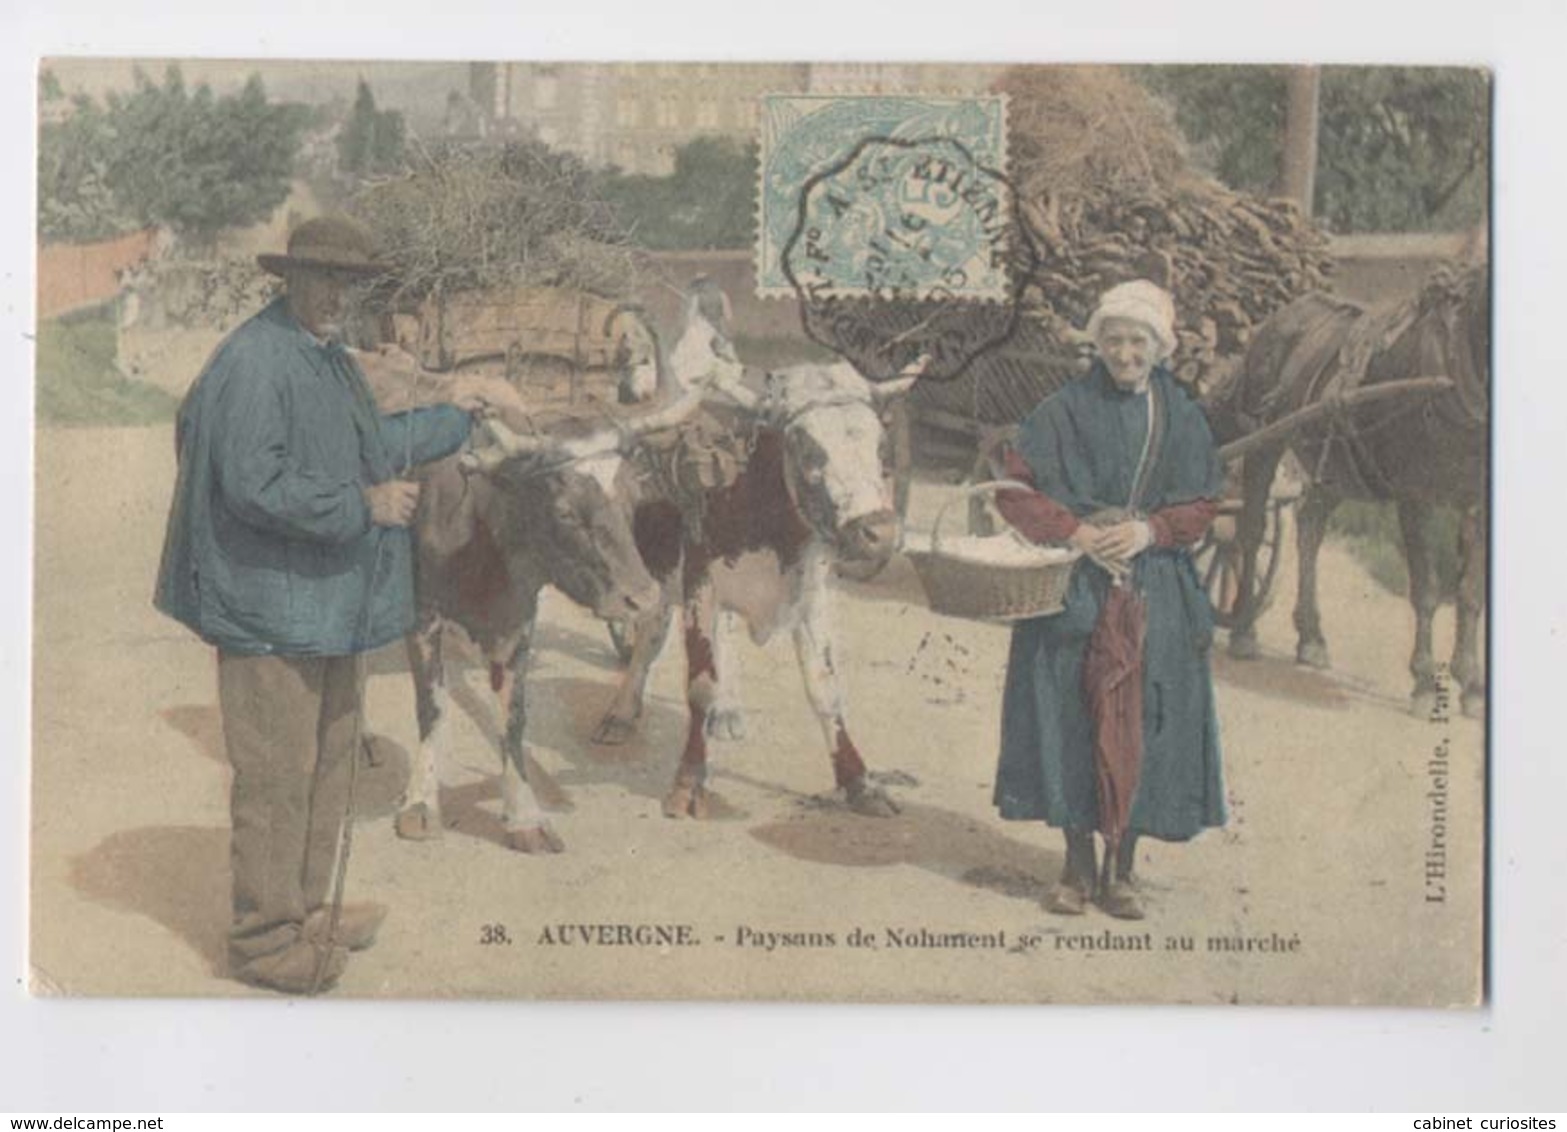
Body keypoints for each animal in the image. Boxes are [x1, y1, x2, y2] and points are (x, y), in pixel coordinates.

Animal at [1215, 261, 1485, 714]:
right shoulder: (1416, 498)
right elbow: (1426, 589)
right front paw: (1424, 681)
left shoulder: (1477, 502)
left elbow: (1470, 593)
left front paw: (1473, 687)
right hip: (1265, 440)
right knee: (1249, 532)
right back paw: (1244, 628)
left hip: (1335, 462)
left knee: (1309, 527)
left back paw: (1311, 637)